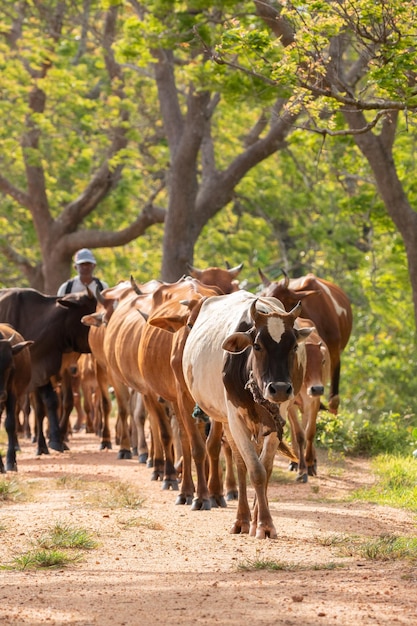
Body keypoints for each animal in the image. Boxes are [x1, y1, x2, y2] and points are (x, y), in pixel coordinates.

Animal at [0, 288, 96, 454]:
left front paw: (57, 440)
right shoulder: (35, 375)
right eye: (89, 314)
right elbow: (43, 406)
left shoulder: (51, 372)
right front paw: (48, 442)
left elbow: (61, 402)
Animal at [160, 288, 312, 536]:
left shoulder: (276, 420)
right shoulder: (234, 419)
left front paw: (263, 522)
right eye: (257, 346)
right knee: (240, 465)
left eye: (293, 347)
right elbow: (255, 470)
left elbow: (265, 469)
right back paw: (241, 519)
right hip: (224, 420)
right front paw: (262, 524)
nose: (280, 388)